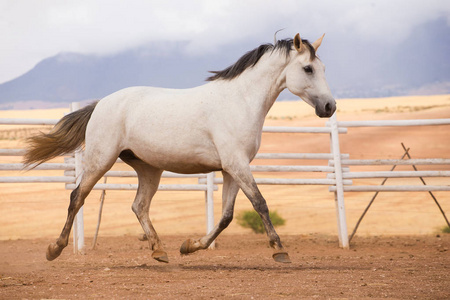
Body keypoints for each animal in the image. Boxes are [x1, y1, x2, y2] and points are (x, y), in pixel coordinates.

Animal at [24, 32, 334, 262]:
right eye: (307, 68)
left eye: (323, 68)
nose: (330, 106)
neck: (240, 101)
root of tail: (101, 104)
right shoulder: (236, 164)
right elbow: (260, 203)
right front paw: (279, 249)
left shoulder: (232, 169)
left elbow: (226, 216)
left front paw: (190, 246)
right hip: (101, 160)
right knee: (77, 196)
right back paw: (55, 248)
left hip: (149, 169)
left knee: (139, 206)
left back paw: (159, 250)